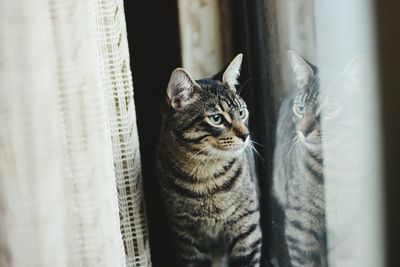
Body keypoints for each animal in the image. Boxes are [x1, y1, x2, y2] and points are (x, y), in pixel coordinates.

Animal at [156, 54, 262, 267]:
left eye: (241, 113)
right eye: (216, 119)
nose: (246, 135)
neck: (206, 176)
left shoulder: (246, 224)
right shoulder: (186, 237)